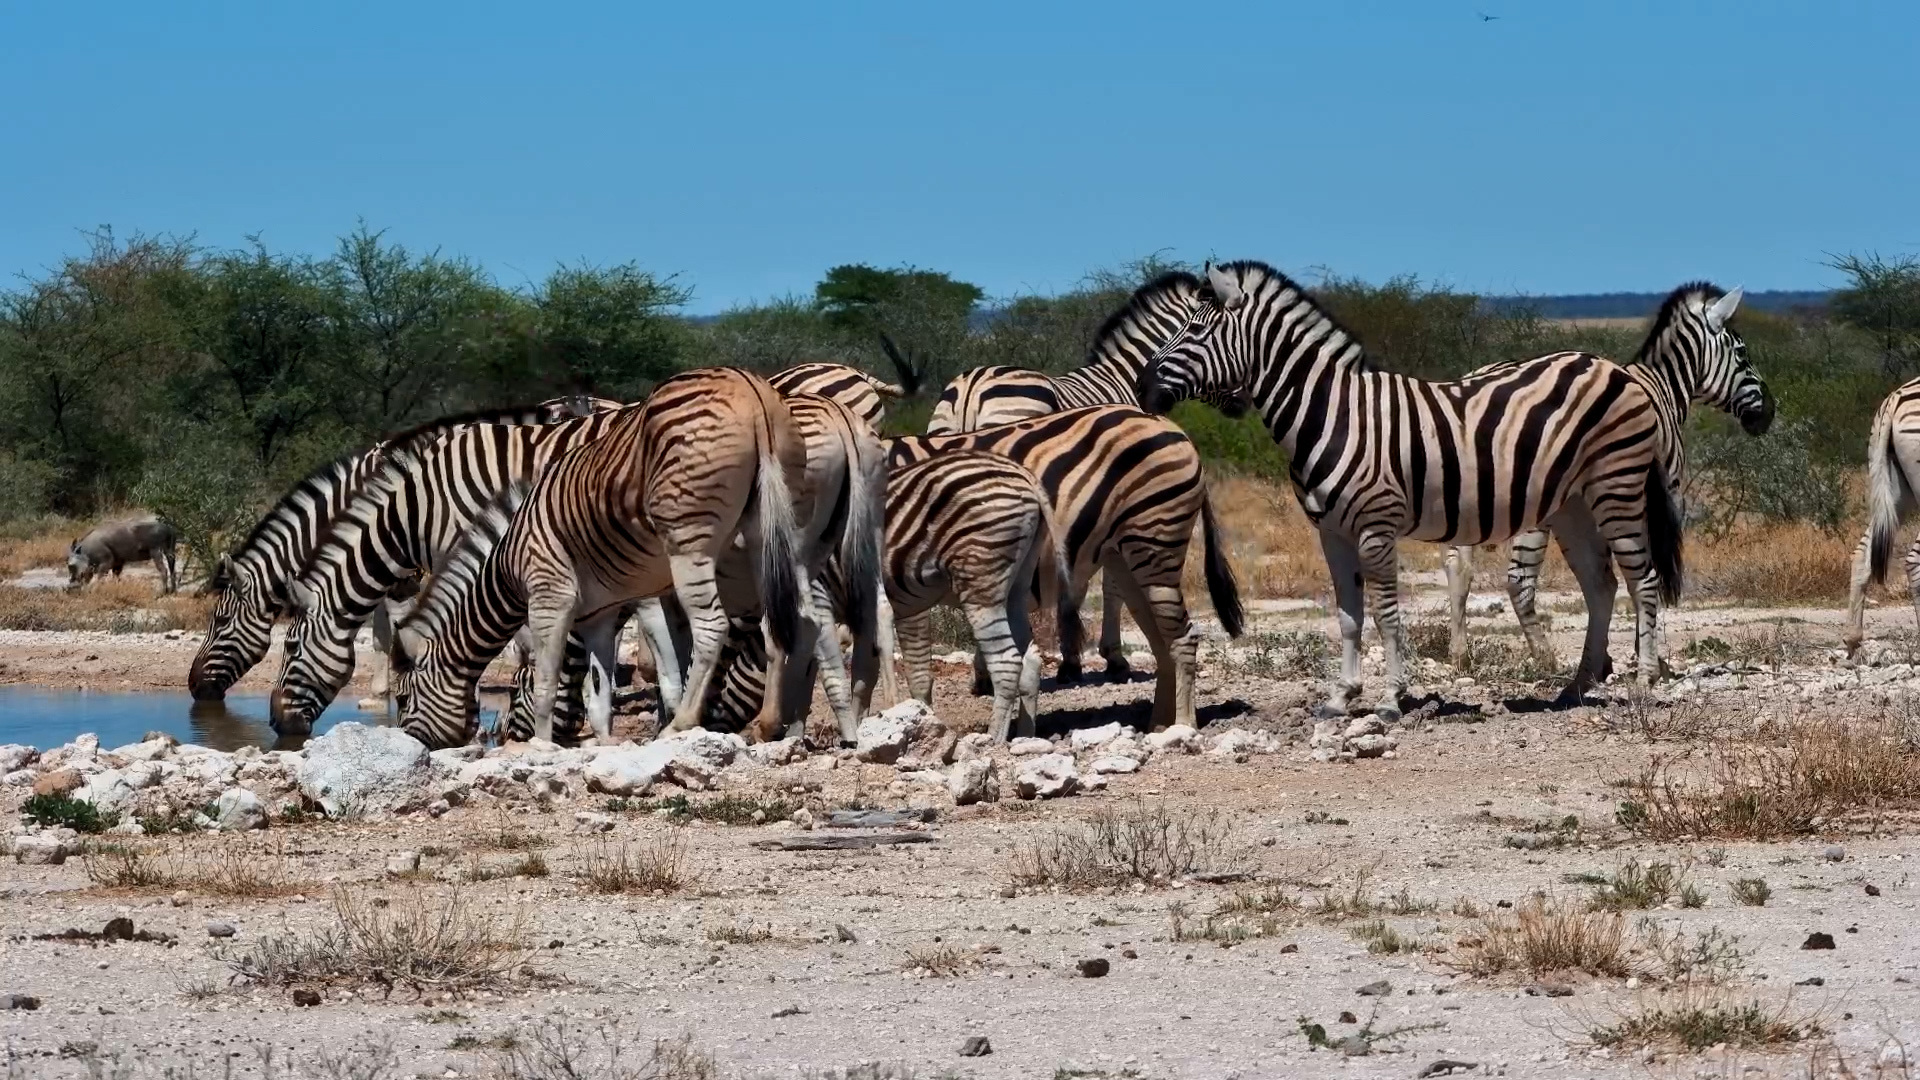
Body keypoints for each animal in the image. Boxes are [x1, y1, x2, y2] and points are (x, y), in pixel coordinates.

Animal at [186, 396, 615, 704]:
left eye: (219, 621)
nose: (194, 688)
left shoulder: (418, 566)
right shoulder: (388, 565)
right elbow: (381, 630)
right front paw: (383, 694)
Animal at [390, 367, 813, 748]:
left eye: (403, 698)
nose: (413, 745)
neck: (508, 560)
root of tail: (749, 388)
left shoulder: (549, 599)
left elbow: (546, 682)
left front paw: (542, 745)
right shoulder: (599, 615)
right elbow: (598, 690)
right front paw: (604, 742)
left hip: (688, 543)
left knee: (712, 627)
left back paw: (681, 725)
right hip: (770, 532)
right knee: (780, 622)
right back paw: (771, 725)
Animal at [888, 406, 1244, 732]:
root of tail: (1173, 427)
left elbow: (911, 673)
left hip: (1155, 547)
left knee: (1183, 638)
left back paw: (1183, 726)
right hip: (1127, 561)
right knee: (1162, 641)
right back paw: (1158, 725)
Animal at [1137, 261, 1680, 718]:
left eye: (1198, 329)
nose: (1143, 387)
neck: (1332, 415)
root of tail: (1611, 366)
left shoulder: (1376, 526)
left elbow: (1385, 615)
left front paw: (1390, 699)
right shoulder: (1332, 533)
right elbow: (1348, 616)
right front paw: (1341, 696)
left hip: (1616, 485)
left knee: (1643, 579)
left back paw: (1643, 683)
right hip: (1572, 504)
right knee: (1601, 584)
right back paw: (1578, 685)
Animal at [1443, 284, 1771, 676]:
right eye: (1742, 353)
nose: (1769, 414)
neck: (1662, 389)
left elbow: (1602, 576)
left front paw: (1606, 656)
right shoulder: (1658, 493)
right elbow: (1642, 572)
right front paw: (1649, 658)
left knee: (1458, 567)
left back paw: (1460, 655)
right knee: (1518, 578)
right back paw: (1544, 657)